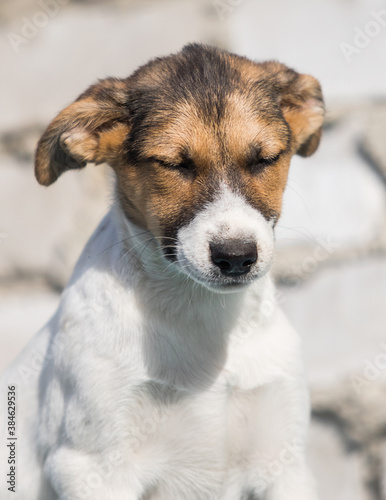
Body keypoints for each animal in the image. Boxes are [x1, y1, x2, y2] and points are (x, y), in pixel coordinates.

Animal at [1, 44, 324, 500]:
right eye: (174, 165)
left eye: (265, 159)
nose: (236, 257)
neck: (202, 316)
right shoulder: (94, 468)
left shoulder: (285, 465)